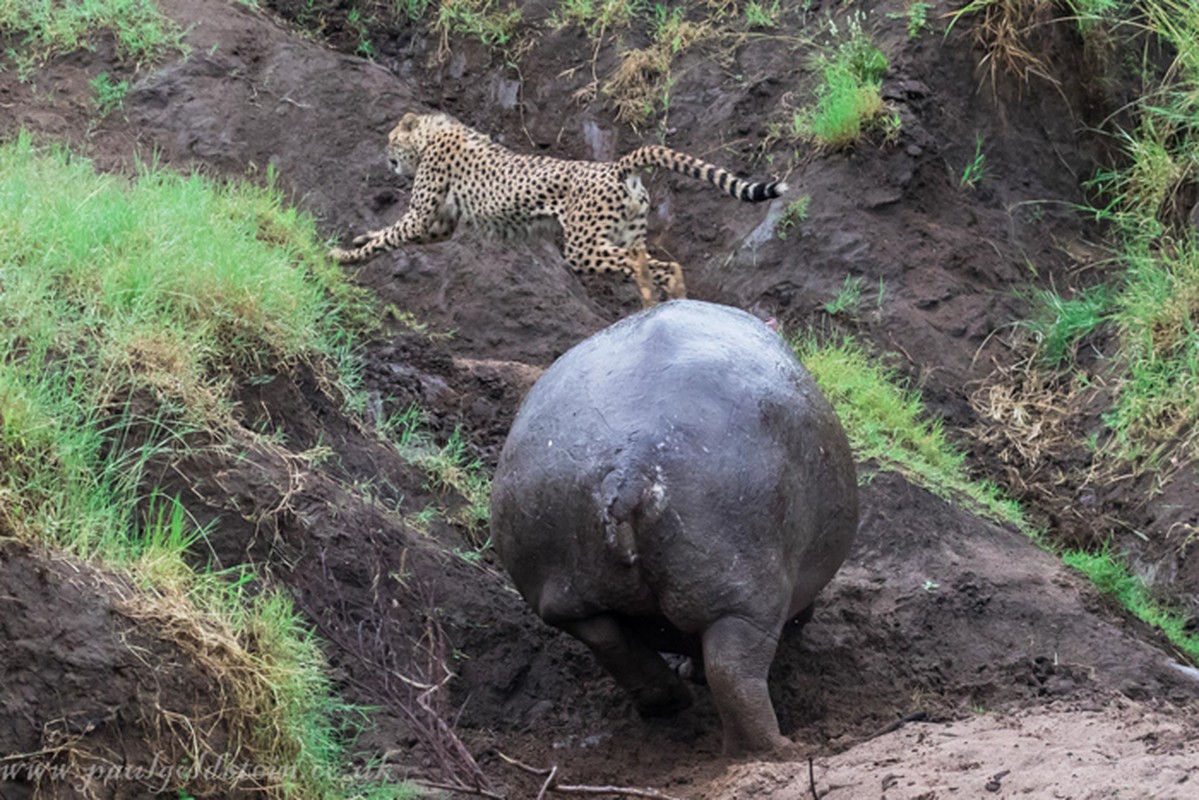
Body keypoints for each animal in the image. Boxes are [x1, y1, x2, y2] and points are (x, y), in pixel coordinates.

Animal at [330, 109, 786, 303]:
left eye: (391, 138)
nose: (386, 157)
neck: (436, 133)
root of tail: (615, 166)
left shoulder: (423, 216)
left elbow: (392, 234)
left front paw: (340, 256)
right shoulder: (439, 224)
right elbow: (392, 233)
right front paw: (360, 238)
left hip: (583, 247)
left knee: (646, 263)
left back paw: (661, 297)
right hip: (623, 236)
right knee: (655, 264)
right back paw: (665, 302)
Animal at [489, 299, 863, 758]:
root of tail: (629, 466)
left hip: (561, 587)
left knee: (607, 639)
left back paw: (666, 702)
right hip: (742, 595)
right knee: (732, 672)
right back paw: (777, 750)